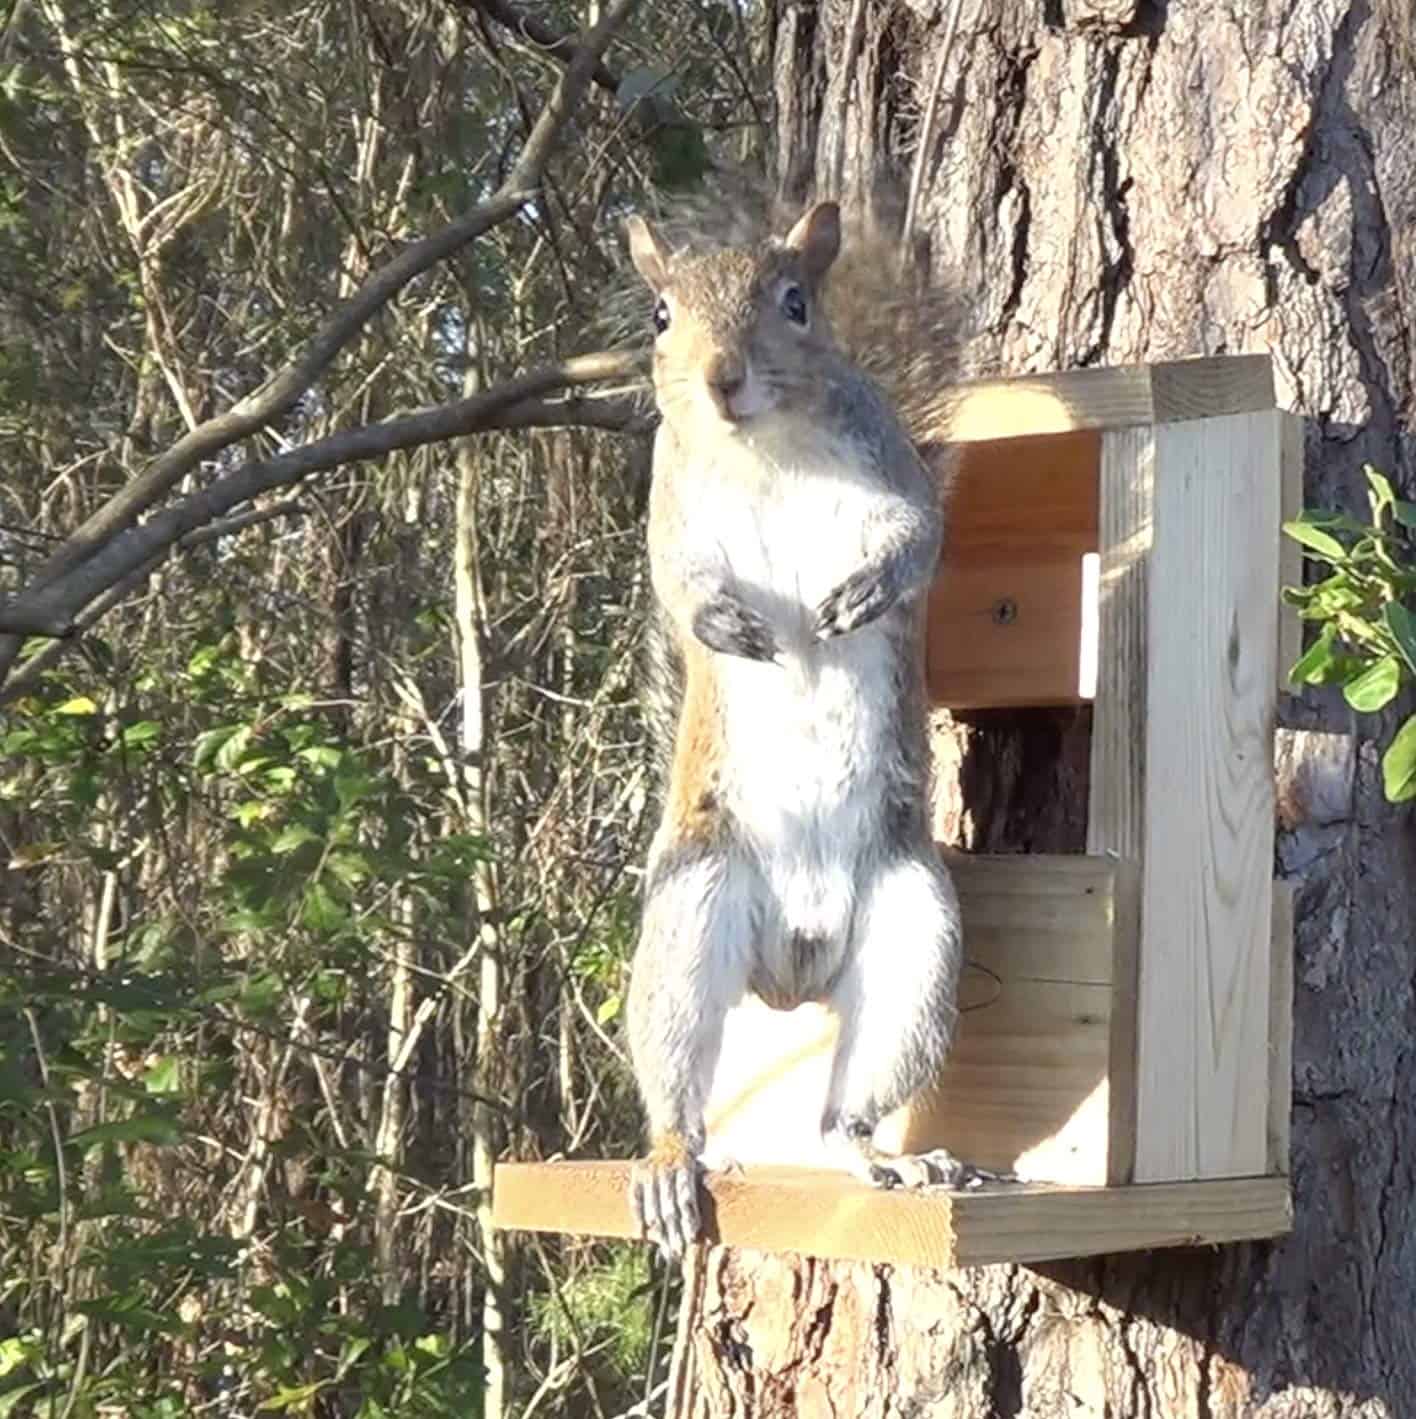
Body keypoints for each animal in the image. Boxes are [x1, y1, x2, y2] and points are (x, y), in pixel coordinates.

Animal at [621, 197, 987, 1254]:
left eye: (796, 303)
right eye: (660, 315)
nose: (721, 377)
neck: (763, 448)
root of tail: (792, 972)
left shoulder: (895, 477)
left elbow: (919, 542)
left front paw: (863, 592)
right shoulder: (666, 513)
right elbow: (676, 582)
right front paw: (726, 626)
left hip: (914, 933)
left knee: (844, 1113)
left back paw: (891, 1160)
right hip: (694, 906)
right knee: (677, 1077)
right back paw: (668, 1165)